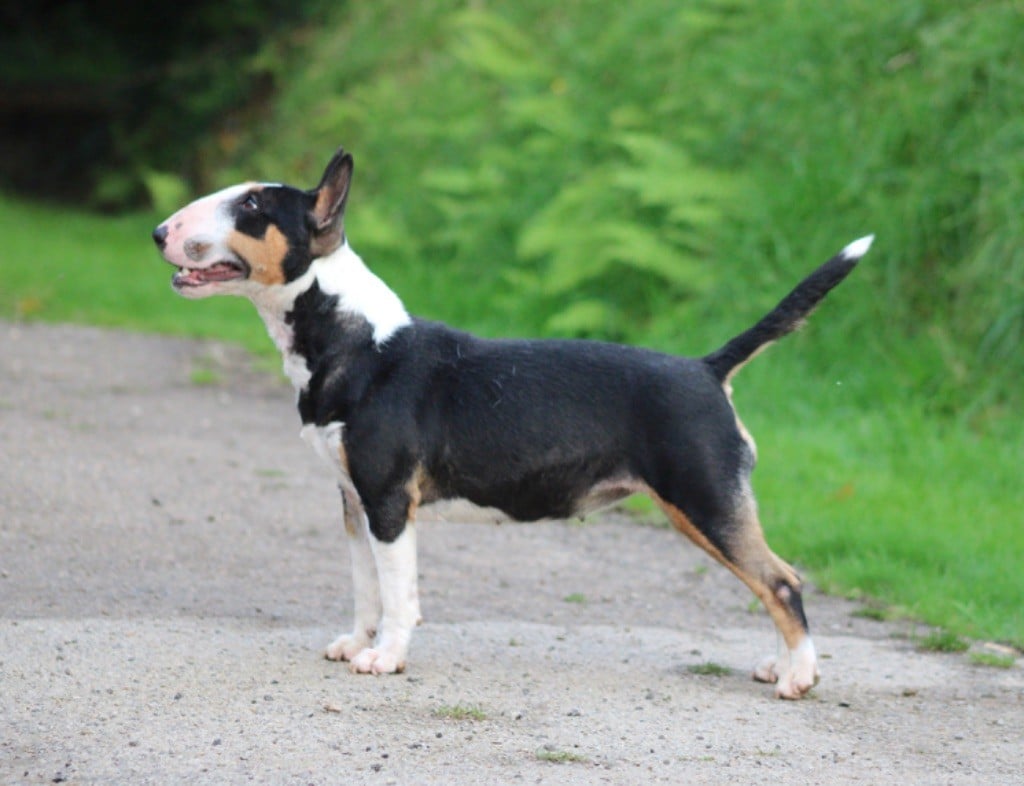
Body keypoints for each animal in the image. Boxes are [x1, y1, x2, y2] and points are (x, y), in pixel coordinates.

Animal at [153, 147, 872, 700]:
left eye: (252, 207)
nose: (160, 232)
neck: (353, 338)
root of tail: (705, 368)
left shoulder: (389, 501)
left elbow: (399, 592)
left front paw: (385, 657)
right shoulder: (352, 500)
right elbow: (365, 587)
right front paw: (354, 644)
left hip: (705, 497)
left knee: (782, 581)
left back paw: (799, 678)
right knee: (771, 582)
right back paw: (779, 666)